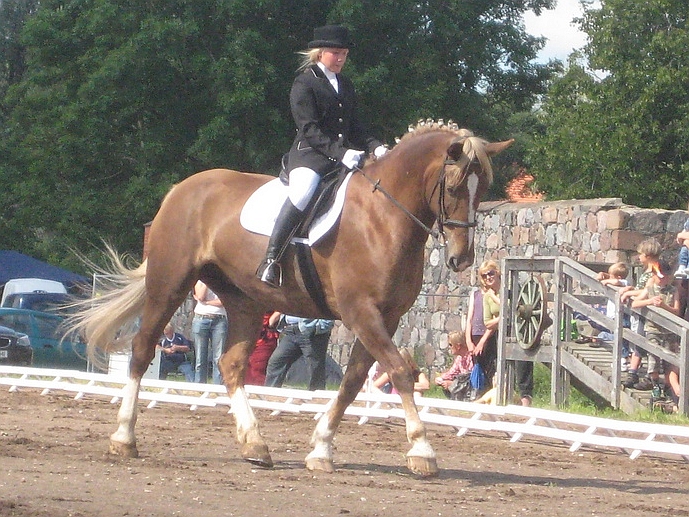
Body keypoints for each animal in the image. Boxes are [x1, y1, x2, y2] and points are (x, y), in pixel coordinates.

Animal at [68, 121, 510, 476]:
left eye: (484, 189)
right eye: (453, 186)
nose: (460, 258)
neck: (383, 216)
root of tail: (180, 189)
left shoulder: (386, 316)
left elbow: (352, 382)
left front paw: (321, 449)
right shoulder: (361, 312)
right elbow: (399, 371)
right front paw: (422, 451)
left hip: (243, 299)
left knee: (230, 364)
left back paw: (255, 445)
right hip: (170, 284)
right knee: (143, 350)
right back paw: (124, 438)